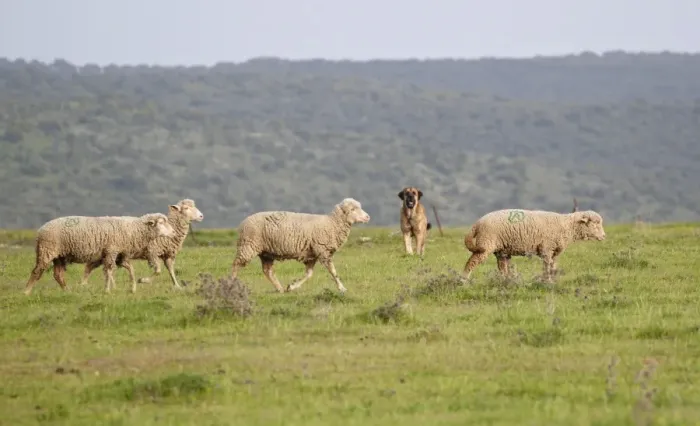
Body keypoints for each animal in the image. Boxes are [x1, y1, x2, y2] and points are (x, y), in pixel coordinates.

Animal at [23, 213, 174, 295]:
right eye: (161, 223)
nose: (173, 232)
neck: (133, 229)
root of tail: (40, 230)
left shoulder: (119, 254)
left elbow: (130, 270)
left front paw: (134, 287)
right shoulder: (111, 251)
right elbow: (109, 271)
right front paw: (107, 290)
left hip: (60, 256)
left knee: (58, 275)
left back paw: (67, 291)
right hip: (47, 250)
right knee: (37, 271)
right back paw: (26, 292)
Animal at [230, 198, 371, 293]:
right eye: (353, 209)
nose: (368, 217)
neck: (332, 223)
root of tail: (242, 223)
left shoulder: (312, 255)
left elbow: (309, 274)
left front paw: (292, 286)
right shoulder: (323, 251)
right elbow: (333, 272)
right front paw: (342, 288)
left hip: (266, 252)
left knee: (267, 271)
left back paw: (280, 288)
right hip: (248, 245)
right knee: (236, 264)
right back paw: (231, 283)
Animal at [462, 209, 606, 283]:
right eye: (595, 224)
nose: (604, 236)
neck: (567, 225)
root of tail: (477, 223)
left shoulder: (555, 251)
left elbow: (553, 265)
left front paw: (553, 279)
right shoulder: (546, 248)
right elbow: (547, 265)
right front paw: (547, 280)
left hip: (501, 249)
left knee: (502, 267)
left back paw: (507, 280)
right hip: (486, 243)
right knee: (472, 262)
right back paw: (464, 280)